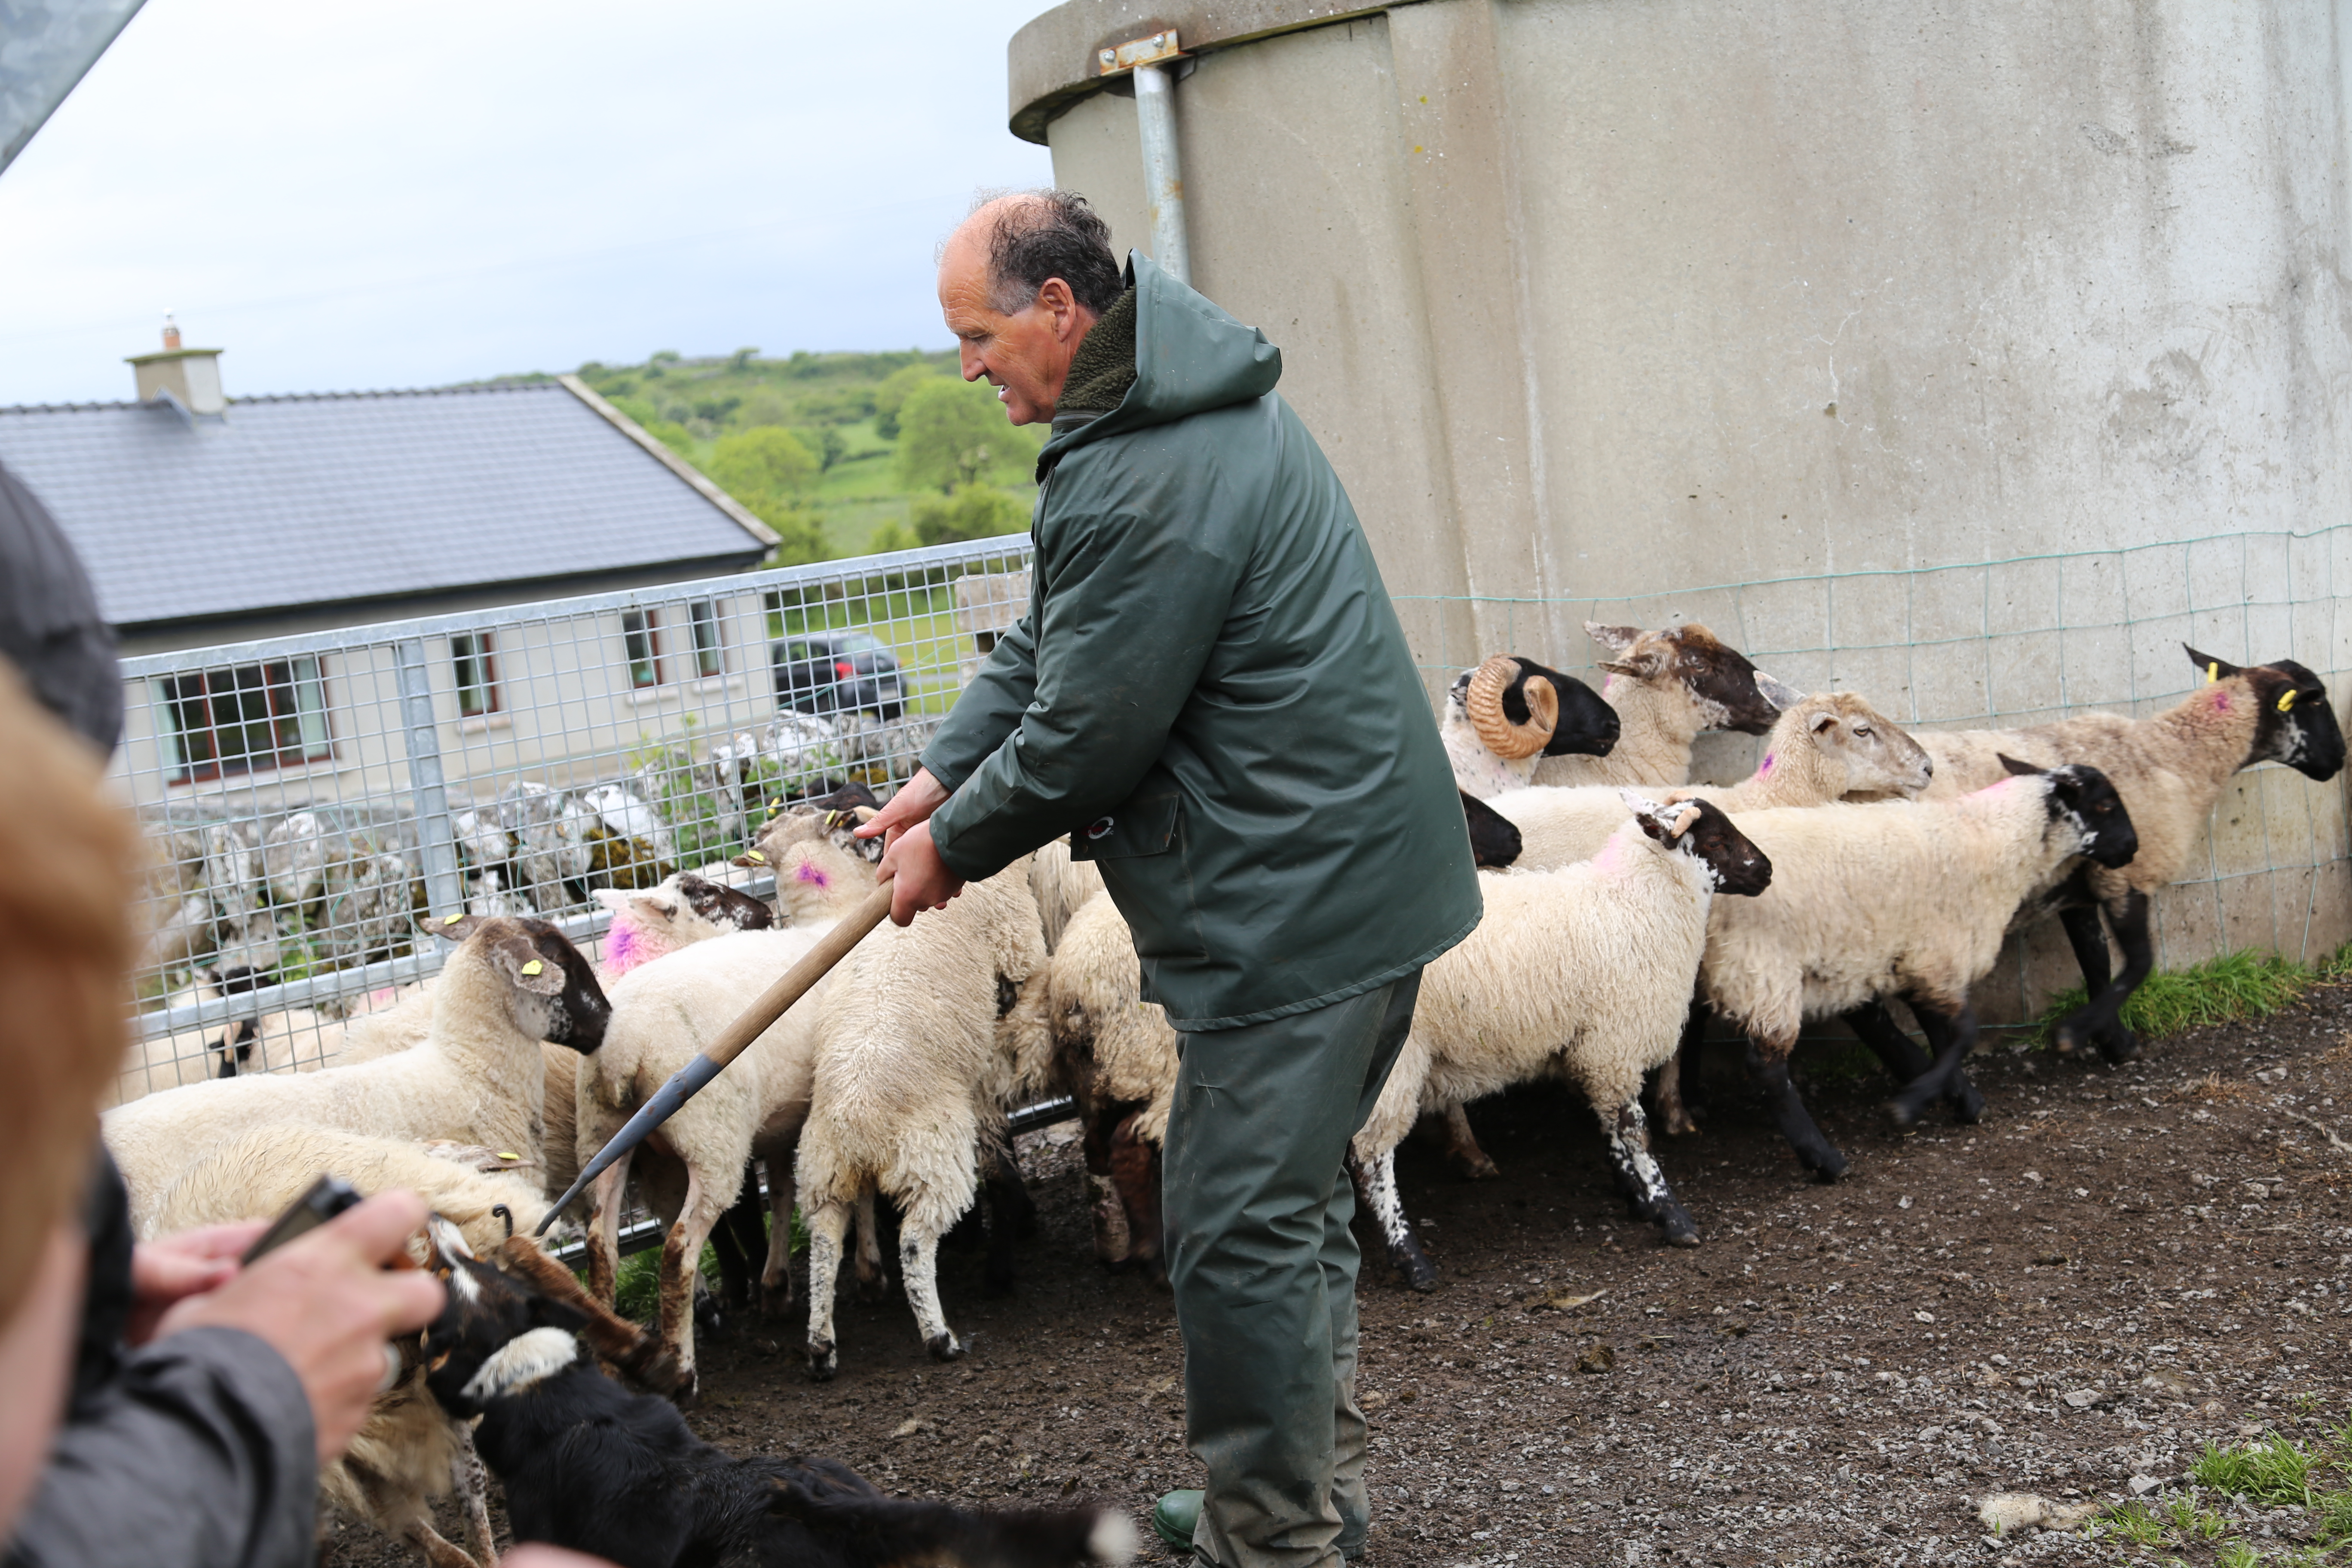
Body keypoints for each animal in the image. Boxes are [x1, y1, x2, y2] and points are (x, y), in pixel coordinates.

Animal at [799, 865, 1049, 1382]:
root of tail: (855, 1121)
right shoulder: (1019, 945)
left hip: (823, 1170)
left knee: (824, 1245)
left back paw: (820, 1348)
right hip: (933, 1155)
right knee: (915, 1241)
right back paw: (939, 1338)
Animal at [1853, 644, 2333, 1063]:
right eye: (2317, 701)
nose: (2339, 759)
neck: (2175, 756)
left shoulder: (2079, 887)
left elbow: (2096, 962)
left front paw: (2110, 1038)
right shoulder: (2129, 874)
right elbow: (2138, 963)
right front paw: (2080, 1034)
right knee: (1875, 1016)